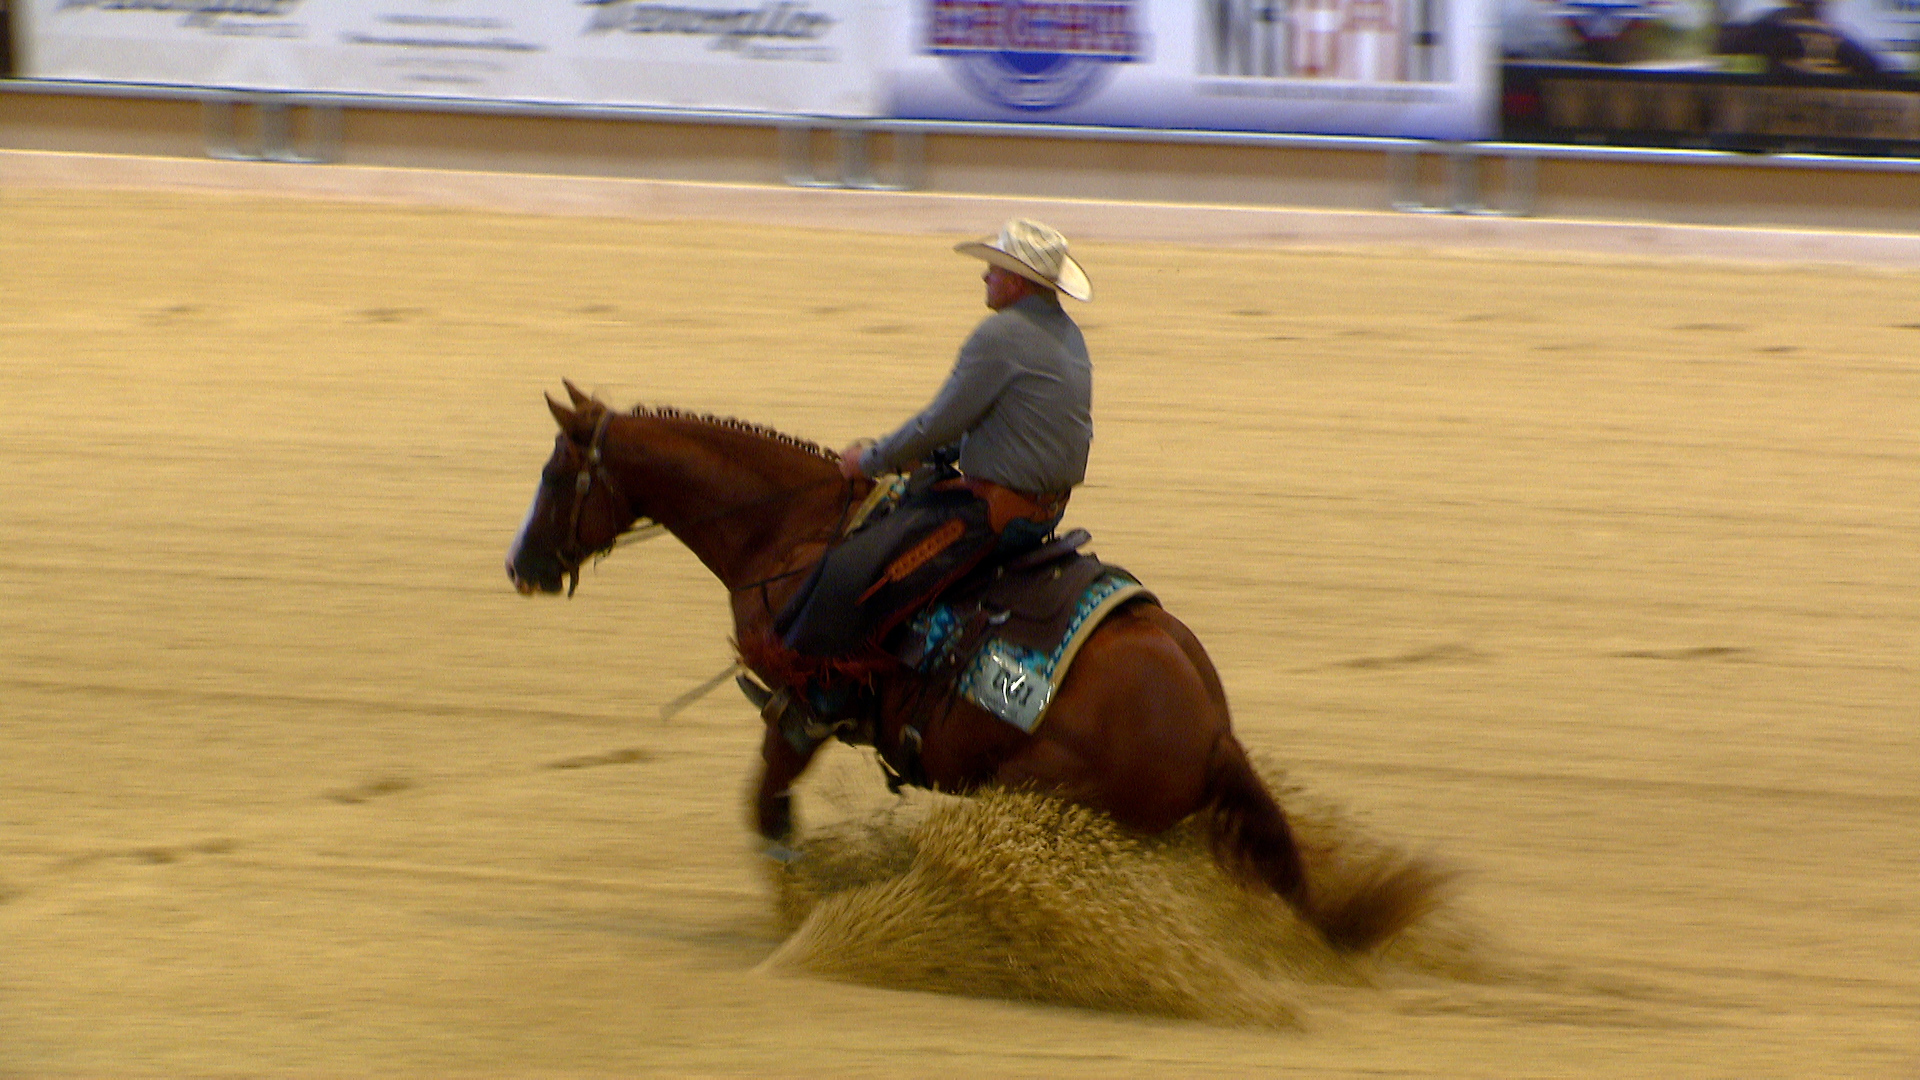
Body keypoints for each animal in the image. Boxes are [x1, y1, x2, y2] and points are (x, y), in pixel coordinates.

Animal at [507, 381, 1435, 951]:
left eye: (554, 471)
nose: (523, 566)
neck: (791, 531)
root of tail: (1213, 733)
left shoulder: (801, 704)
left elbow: (765, 808)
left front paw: (796, 908)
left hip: (1041, 801)